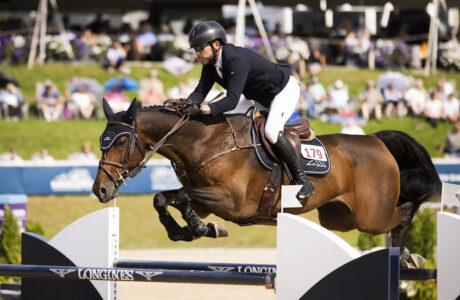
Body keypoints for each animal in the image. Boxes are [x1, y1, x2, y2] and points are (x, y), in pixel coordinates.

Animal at [92, 99, 442, 268]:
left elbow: (181, 198)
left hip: (370, 216)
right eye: (101, 142)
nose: (101, 190)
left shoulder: (232, 202)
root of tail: (377, 141)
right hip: (339, 218)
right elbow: (165, 199)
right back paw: (405, 255)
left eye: (121, 142)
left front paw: (201, 229)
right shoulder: (206, 199)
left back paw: (410, 255)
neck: (203, 141)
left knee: (403, 214)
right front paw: (189, 231)